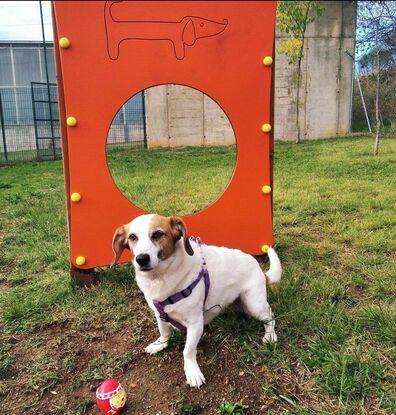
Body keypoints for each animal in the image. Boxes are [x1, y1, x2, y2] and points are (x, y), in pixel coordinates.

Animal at [112, 214, 282, 390]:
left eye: (158, 234)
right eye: (132, 237)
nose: (141, 259)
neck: (161, 278)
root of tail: (261, 272)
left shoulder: (195, 324)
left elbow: (187, 350)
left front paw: (192, 372)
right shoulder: (159, 314)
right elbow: (164, 331)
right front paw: (160, 344)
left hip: (254, 304)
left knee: (270, 316)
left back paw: (270, 335)